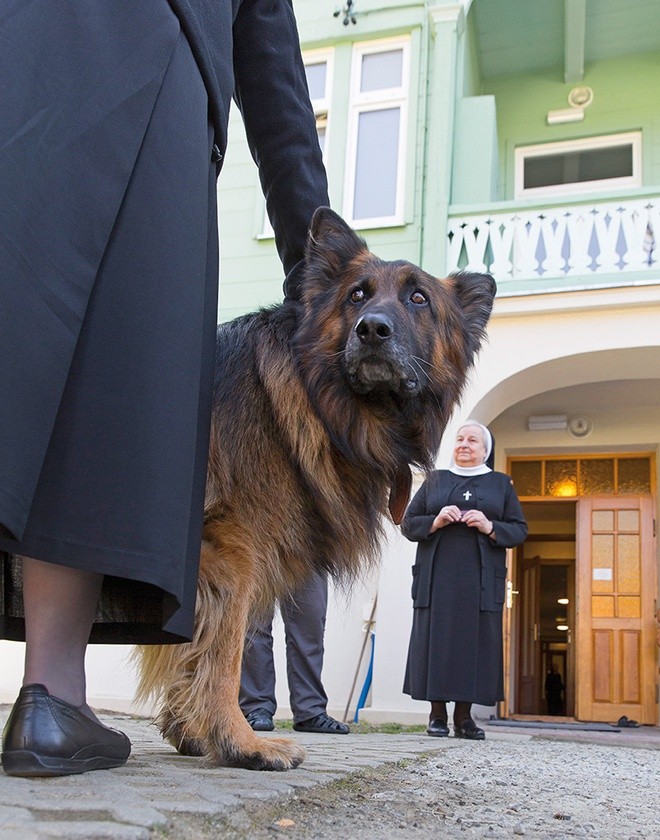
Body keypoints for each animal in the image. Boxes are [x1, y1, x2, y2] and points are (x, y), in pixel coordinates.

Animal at [135, 208, 496, 768]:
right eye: (357, 295)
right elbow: (223, 653)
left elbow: (190, 650)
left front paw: (190, 732)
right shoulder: (230, 549)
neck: (320, 399)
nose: (373, 329)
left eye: (418, 299)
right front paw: (238, 741)